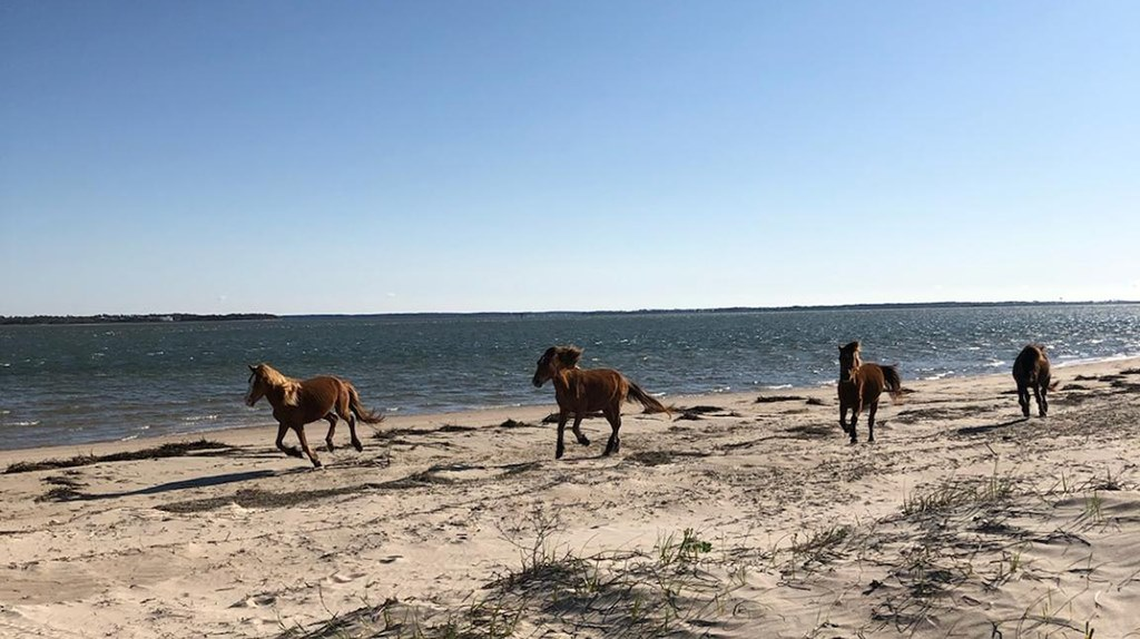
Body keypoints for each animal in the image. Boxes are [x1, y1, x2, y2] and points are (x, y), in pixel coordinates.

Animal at [245, 363, 384, 468]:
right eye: (250, 381)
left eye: (257, 382)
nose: (248, 401)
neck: (285, 396)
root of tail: (341, 382)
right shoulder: (284, 423)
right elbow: (278, 442)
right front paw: (296, 453)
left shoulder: (297, 425)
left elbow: (304, 445)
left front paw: (316, 460)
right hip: (323, 412)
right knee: (334, 419)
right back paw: (330, 444)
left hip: (340, 409)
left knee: (350, 419)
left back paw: (357, 445)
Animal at [531, 345, 671, 459]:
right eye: (538, 362)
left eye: (547, 363)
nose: (535, 381)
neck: (567, 385)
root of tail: (624, 379)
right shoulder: (564, 409)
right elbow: (560, 428)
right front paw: (559, 452)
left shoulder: (581, 410)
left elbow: (575, 427)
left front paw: (585, 441)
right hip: (606, 408)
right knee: (615, 424)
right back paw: (614, 447)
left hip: (615, 405)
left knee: (617, 424)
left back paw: (609, 449)